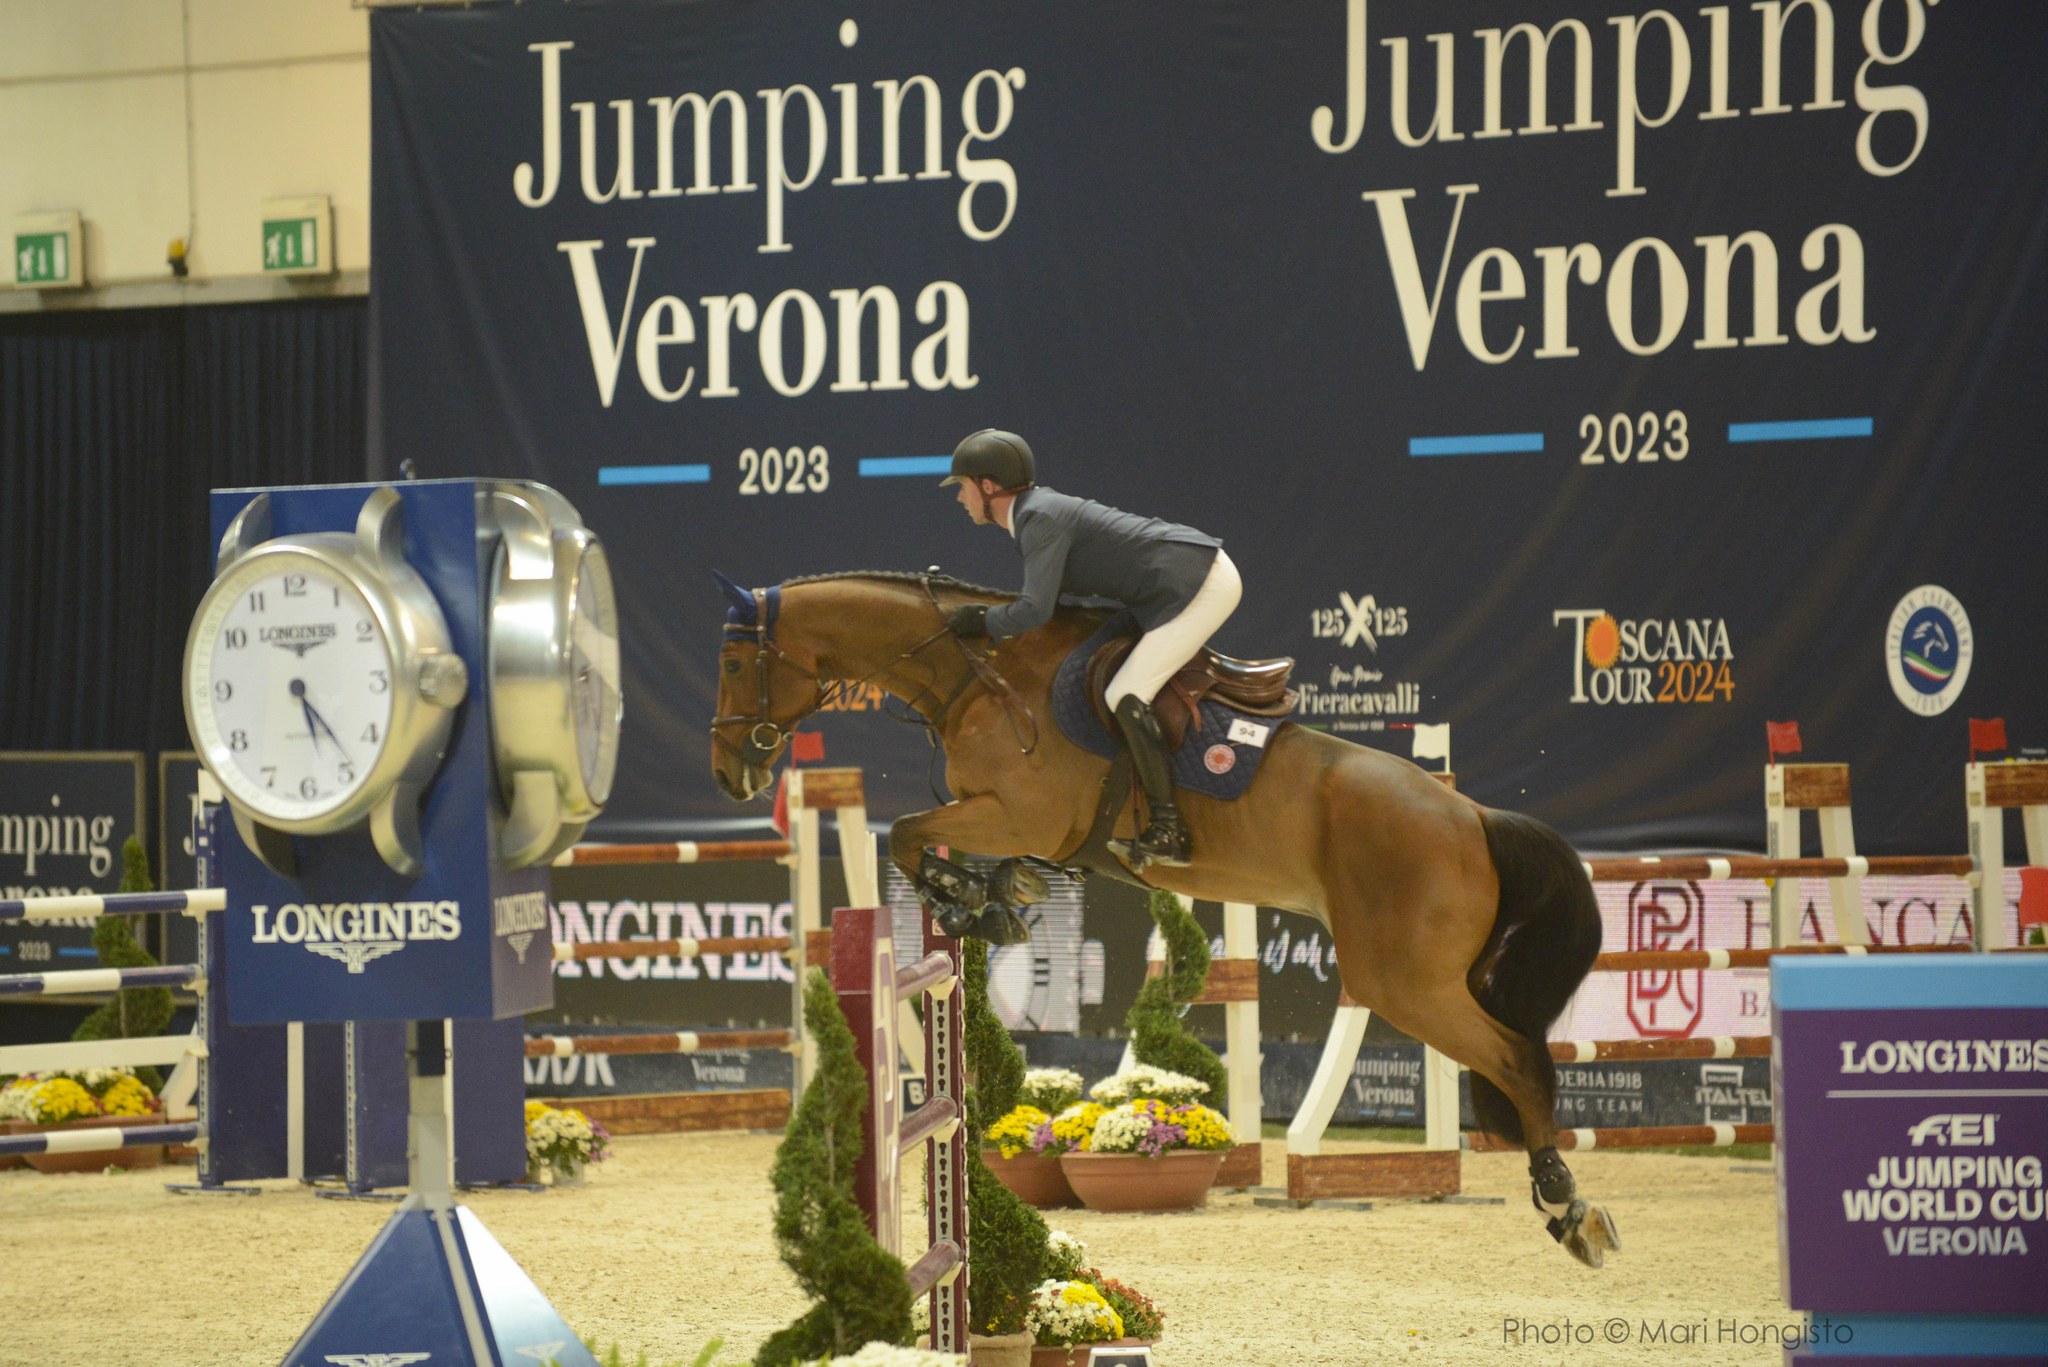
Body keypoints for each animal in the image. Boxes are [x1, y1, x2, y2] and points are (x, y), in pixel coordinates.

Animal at [712, 565, 1622, 1262]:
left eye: (733, 663)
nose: (729, 775)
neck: (979, 672)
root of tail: (1469, 815)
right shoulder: (1022, 827)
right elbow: (938, 846)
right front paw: (995, 898)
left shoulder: (1015, 812)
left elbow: (906, 833)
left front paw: (962, 899)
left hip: (1403, 981)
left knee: (1519, 1059)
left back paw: (1567, 1203)